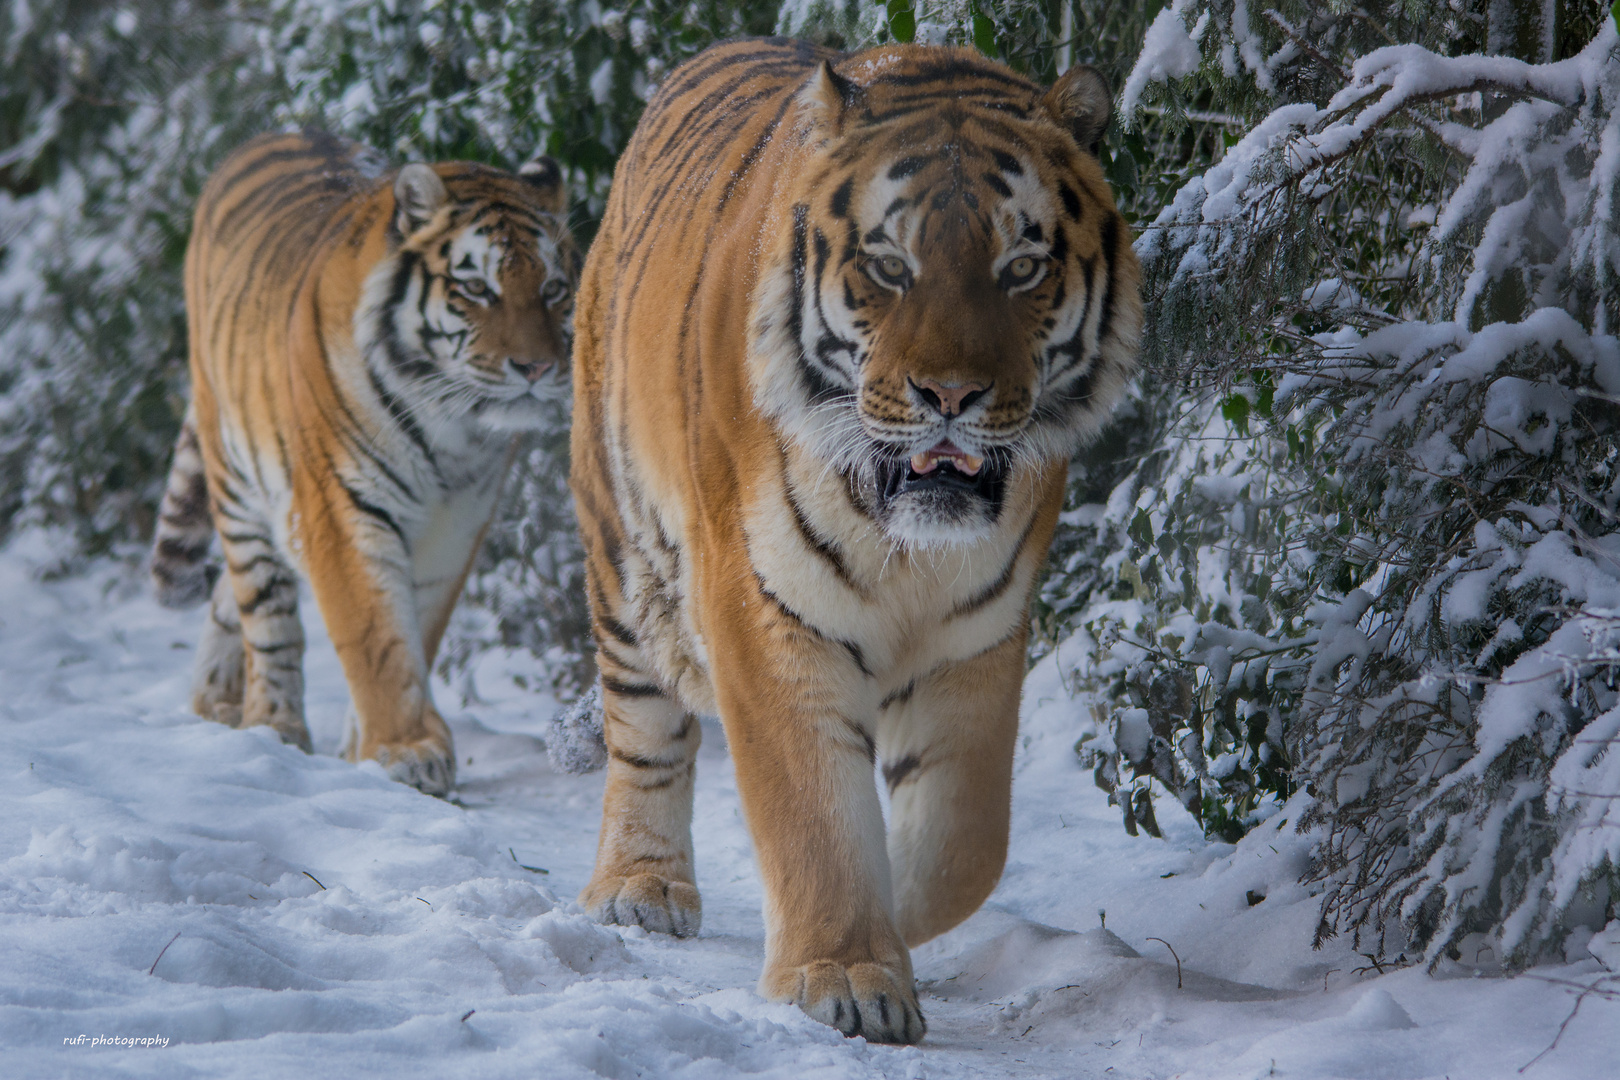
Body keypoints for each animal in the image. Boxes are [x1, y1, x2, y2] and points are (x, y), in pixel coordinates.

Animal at [152, 132, 579, 793]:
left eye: (554, 289)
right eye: (477, 289)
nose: (537, 367)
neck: (454, 427)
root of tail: (271, 136)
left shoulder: (455, 526)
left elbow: (416, 631)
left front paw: (365, 748)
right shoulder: (342, 507)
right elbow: (376, 636)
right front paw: (408, 751)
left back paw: (216, 700)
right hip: (234, 475)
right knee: (264, 611)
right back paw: (271, 723)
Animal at [570, 42, 1140, 1049]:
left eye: (1021, 266)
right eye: (889, 264)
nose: (949, 395)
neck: (905, 545)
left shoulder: (977, 634)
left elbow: (965, 841)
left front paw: (893, 930)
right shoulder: (764, 610)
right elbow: (812, 810)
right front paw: (846, 975)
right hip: (623, 552)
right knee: (644, 731)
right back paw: (640, 889)